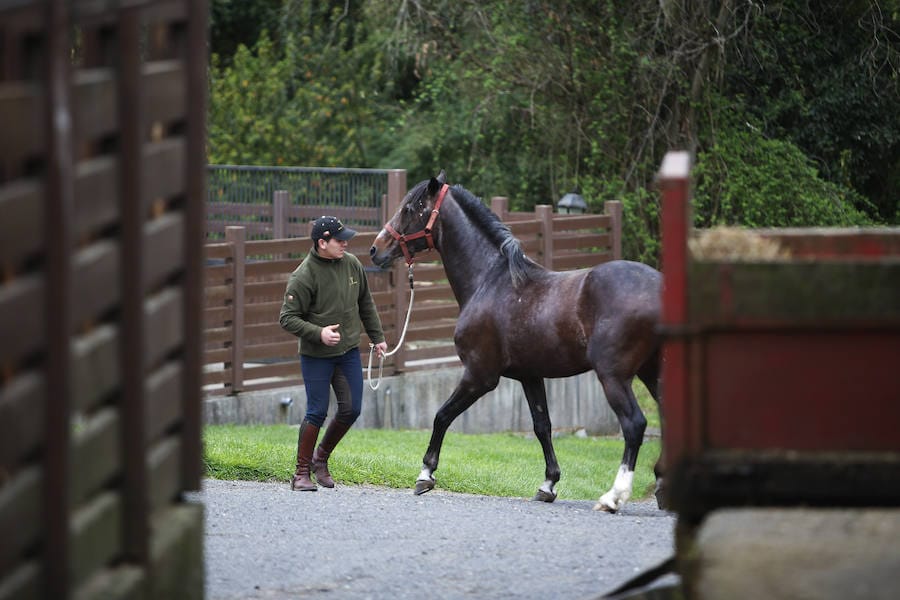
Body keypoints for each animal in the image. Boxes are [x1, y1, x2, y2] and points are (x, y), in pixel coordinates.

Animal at [370, 170, 664, 510]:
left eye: (409, 208)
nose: (375, 249)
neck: (491, 281)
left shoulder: (480, 376)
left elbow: (442, 415)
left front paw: (425, 474)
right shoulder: (530, 376)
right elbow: (542, 426)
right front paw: (548, 484)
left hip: (614, 376)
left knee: (634, 424)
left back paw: (614, 496)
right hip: (652, 372)